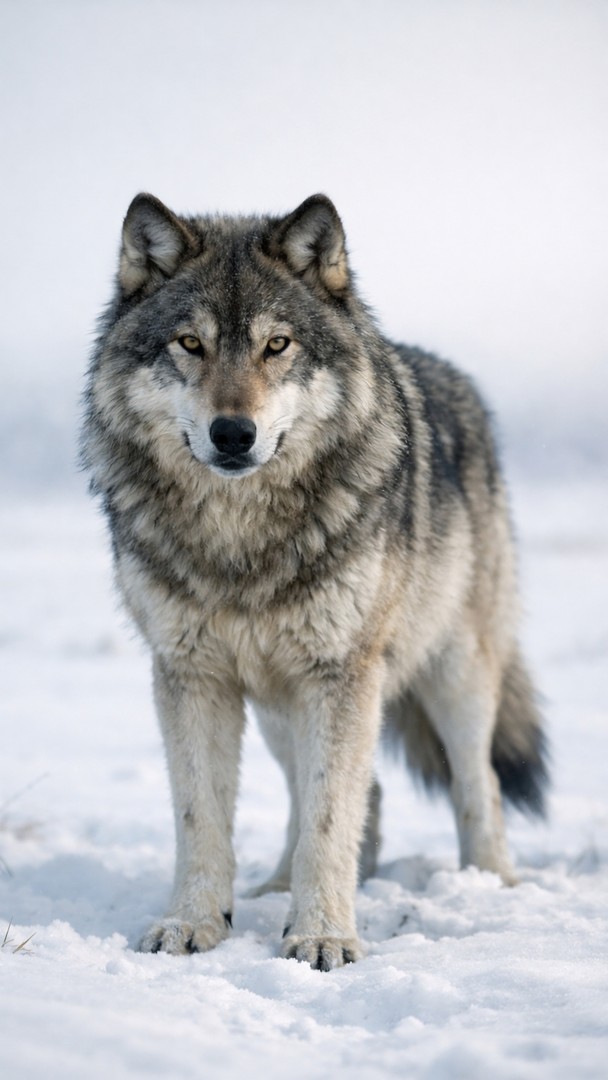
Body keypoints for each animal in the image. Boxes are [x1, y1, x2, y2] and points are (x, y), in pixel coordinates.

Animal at [82, 192, 547, 970]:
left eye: (278, 345)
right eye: (190, 344)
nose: (232, 433)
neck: (241, 540)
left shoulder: (340, 672)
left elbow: (332, 818)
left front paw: (324, 936)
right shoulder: (191, 674)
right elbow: (202, 816)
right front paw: (193, 924)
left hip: (453, 674)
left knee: (474, 781)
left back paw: (490, 884)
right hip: (281, 702)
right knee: (349, 792)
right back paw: (275, 888)